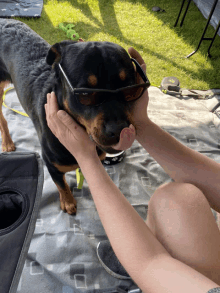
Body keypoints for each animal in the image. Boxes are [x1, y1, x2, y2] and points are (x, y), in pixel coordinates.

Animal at [0, 18, 150, 214]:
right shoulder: (51, 165)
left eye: (131, 89)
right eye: (85, 94)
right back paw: (7, 142)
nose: (120, 130)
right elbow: (61, 184)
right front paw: (68, 202)